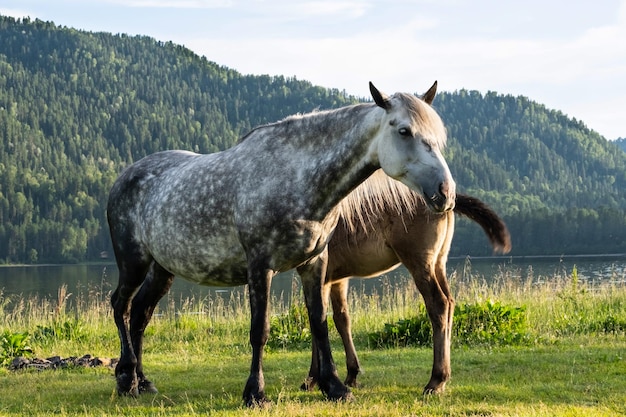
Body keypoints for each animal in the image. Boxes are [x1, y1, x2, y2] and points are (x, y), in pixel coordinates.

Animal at [105, 81, 450, 404]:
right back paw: (126, 378)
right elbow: (260, 330)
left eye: (438, 135)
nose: (445, 191)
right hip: (133, 261)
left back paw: (143, 380)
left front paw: (334, 386)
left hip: (162, 269)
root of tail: (124, 177)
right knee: (121, 305)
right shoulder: (260, 266)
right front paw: (255, 392)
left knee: (141, 313)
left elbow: (319, 323)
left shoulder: (315, 264)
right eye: (404, 131)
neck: (296, 178)